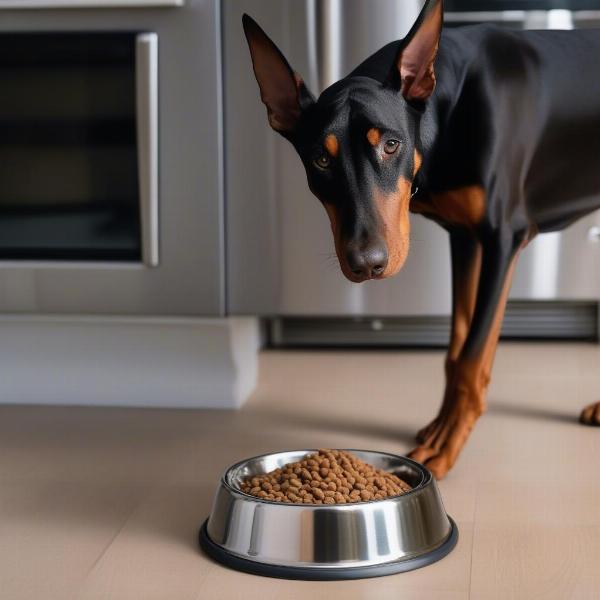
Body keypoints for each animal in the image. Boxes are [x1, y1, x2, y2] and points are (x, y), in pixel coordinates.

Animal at [243, 0, 600, 478]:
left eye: (391, 145)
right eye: (320, 159)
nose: (367, 263)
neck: (453, 108)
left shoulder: (503, 238)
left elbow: (472, 358)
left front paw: (447, 444)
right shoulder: (465, 238)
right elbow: (456, 348)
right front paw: (440, 425)